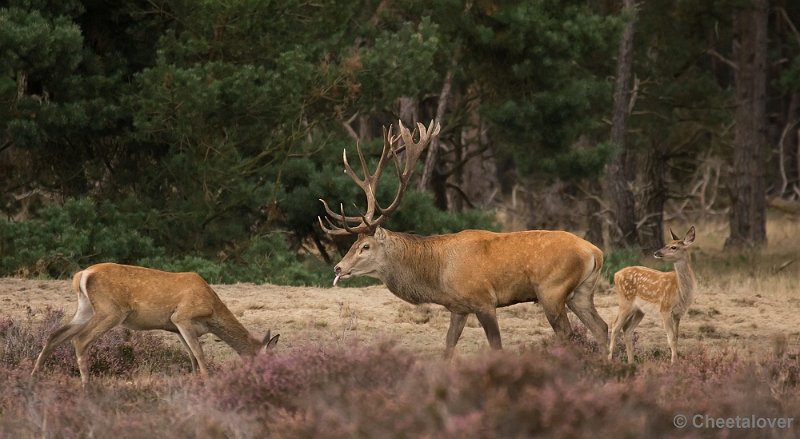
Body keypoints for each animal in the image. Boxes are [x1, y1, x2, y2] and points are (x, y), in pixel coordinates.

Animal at [31, 262, 280, 386]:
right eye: (268, 360)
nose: (271, 377)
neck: (212, 313)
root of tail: (82, 275)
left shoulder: (176, 327)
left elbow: (191, 355)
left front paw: (194, 382)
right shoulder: (182, 316)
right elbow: (199, 354)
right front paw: (209, 383)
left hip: (85, 308)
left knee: (55, 335)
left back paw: (35, 376)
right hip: (111, 309)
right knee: (80, 340)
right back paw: (87, 386)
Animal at [608, 227, 696, 364]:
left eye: (674, 247)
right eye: (666, 244)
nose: (656, 252)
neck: (680, 290)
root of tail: (616, 275)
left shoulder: (678, 313)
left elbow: (676, 337)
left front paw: (676, 361)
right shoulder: (665, 309)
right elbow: (671, 338)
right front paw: (673, 363)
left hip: (639, 310)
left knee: (627, 329)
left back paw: (631, 362)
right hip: (625, 301)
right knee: (615, 326)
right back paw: (609, 359)